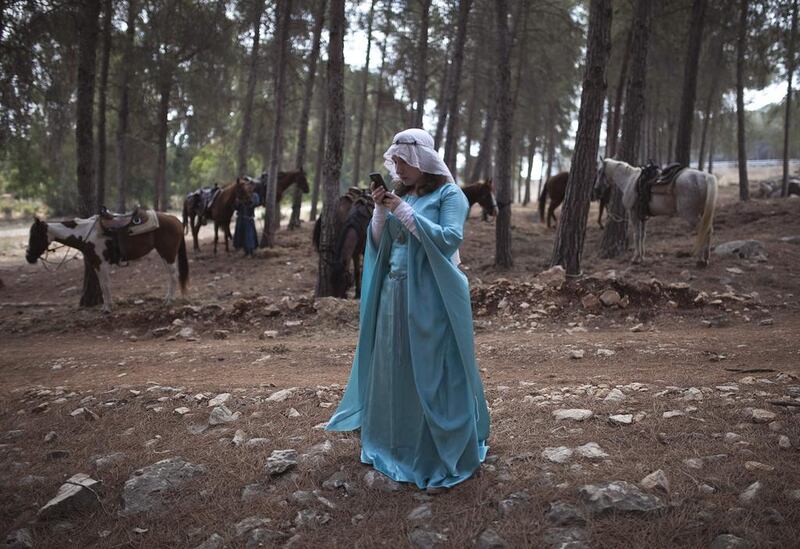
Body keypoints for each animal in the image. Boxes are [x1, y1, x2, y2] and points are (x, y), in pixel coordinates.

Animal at [25, 211, 189, 312]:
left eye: (35, 235)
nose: (28, 257)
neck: (85, 234)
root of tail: (176, 220)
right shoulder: (96, 264)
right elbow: (102, 285)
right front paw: (105, 307)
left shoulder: (102, 264)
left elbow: (105, 284)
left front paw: (108, 308)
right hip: (165, 255)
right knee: (172, 275)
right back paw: (167, 298)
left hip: (167, 254)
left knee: (174, 275)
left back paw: (169, 301)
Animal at [592, 158, 720, 266]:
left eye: (599, 171)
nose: (596, 189)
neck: (630, 180)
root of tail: (704, 176)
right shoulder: (643, 216)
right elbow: (642, 235)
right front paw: (642, 257)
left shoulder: (633, 214)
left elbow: (636, 235)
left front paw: (635, 258)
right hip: (702, 212)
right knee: (709, 230)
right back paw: (706, 258)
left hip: (690, 214)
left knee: (703, 231)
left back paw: (700, 259)